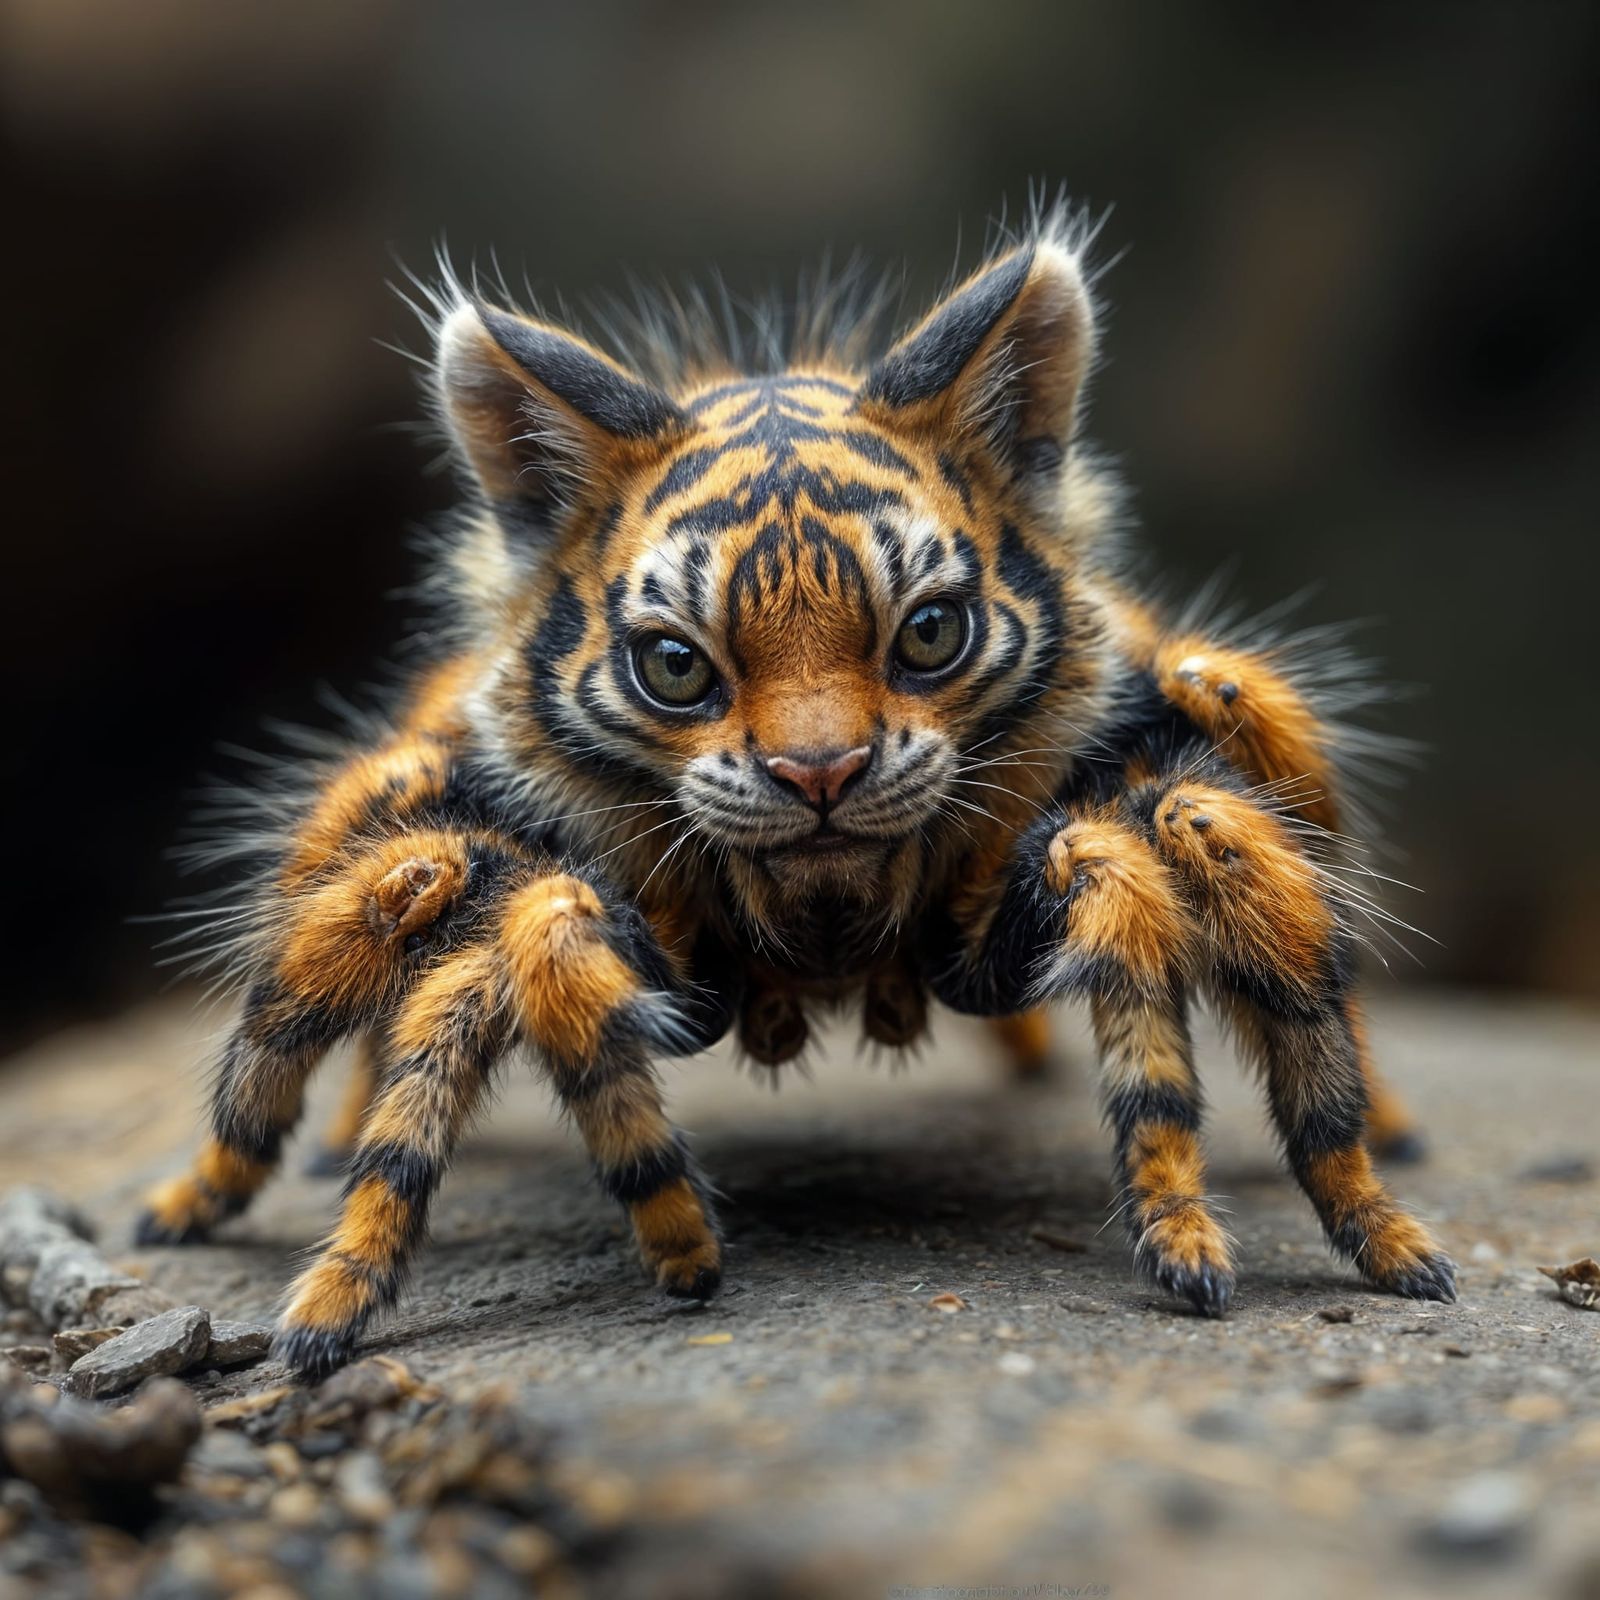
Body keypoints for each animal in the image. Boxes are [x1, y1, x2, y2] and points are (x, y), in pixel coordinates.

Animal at [137, 204, 1454, 1380]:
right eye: (675, 664)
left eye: (929, 632)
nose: (819, 771)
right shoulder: (535, 895)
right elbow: (439, 1014)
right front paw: (655, 1253)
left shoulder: (1118, 832)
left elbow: (1199, 996)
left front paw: (1332, 1241)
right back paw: (216, 1188)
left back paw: (1380, 1125)